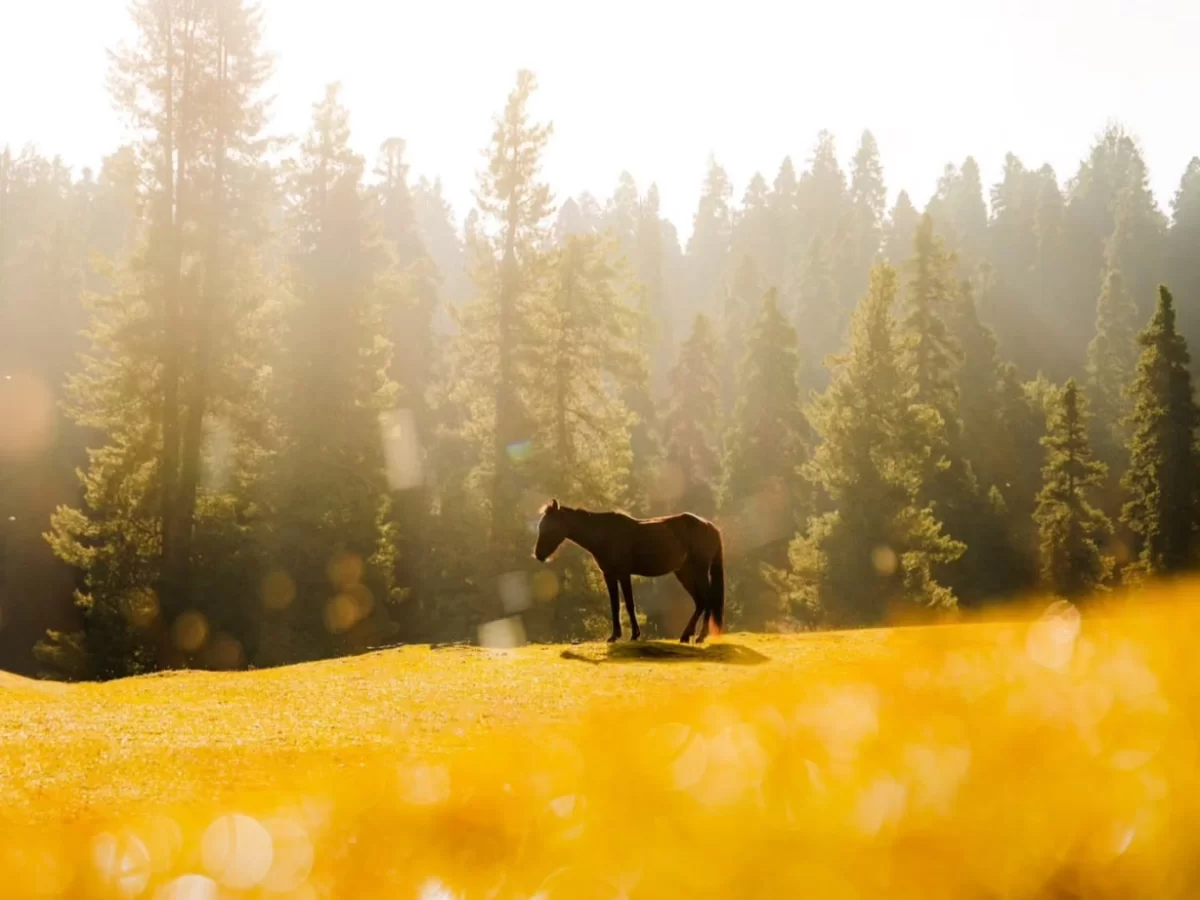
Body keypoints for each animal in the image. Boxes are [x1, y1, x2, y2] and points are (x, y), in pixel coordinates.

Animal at [532, 499, 725, 644]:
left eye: (550, 527)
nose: (539, 555)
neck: (605, 534)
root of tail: (710, 526)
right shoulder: (609, 575)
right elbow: (615, 604)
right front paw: (614, 636)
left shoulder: (623, 574)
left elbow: (630, 604)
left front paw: (634, 635)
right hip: (684, 573)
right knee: (700, 601)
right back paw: (687, 635)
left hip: (699, 571)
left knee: (707, 599)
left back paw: (699, 636)